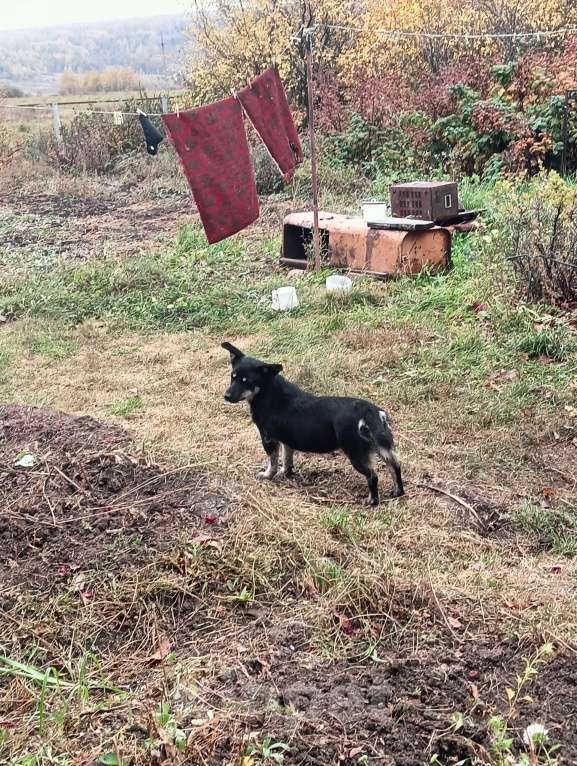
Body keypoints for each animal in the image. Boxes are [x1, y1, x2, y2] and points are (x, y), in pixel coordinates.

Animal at [219, 342, 400, 504]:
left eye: (246, 381)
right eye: (232, 377)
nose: (226, 396)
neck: (268, 392)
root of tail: (368, 410)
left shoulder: (268, 439)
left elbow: (273, 462)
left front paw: (267, 475)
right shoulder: (286, 441)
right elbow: (287, 460)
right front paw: (285, 473)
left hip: (356, 453)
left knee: (373, 476)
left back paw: (372, 501)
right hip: (382, 447)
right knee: (395, 466)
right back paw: (398, 492)